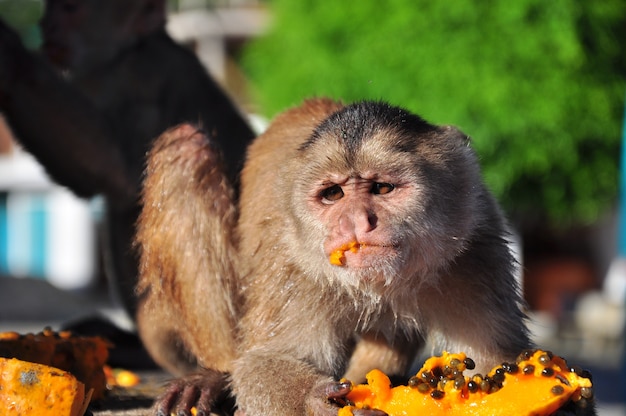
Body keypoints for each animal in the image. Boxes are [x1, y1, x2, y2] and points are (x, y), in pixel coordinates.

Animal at [134, 99, 592, 414]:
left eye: (382, 189)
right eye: (333, 194)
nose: (356, 222)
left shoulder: (476, 240)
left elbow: (499, 361)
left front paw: (554, 389)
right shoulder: (293, 255)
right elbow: (263, 363)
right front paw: (317, 401)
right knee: (187, 148)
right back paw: (216, 374)